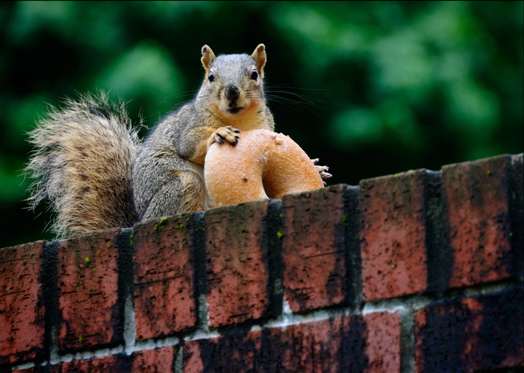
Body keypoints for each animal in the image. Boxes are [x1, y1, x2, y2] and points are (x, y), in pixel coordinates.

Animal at [26, 43, 330, 235]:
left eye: (254, 74)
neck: (238, 121)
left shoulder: (266, 125)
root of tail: (137, 222)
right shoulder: (188, 127)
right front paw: (218, 134)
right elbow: (188, 144)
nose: (232, 91)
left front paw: (317, 168)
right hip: (182, 187)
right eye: (210, 77)